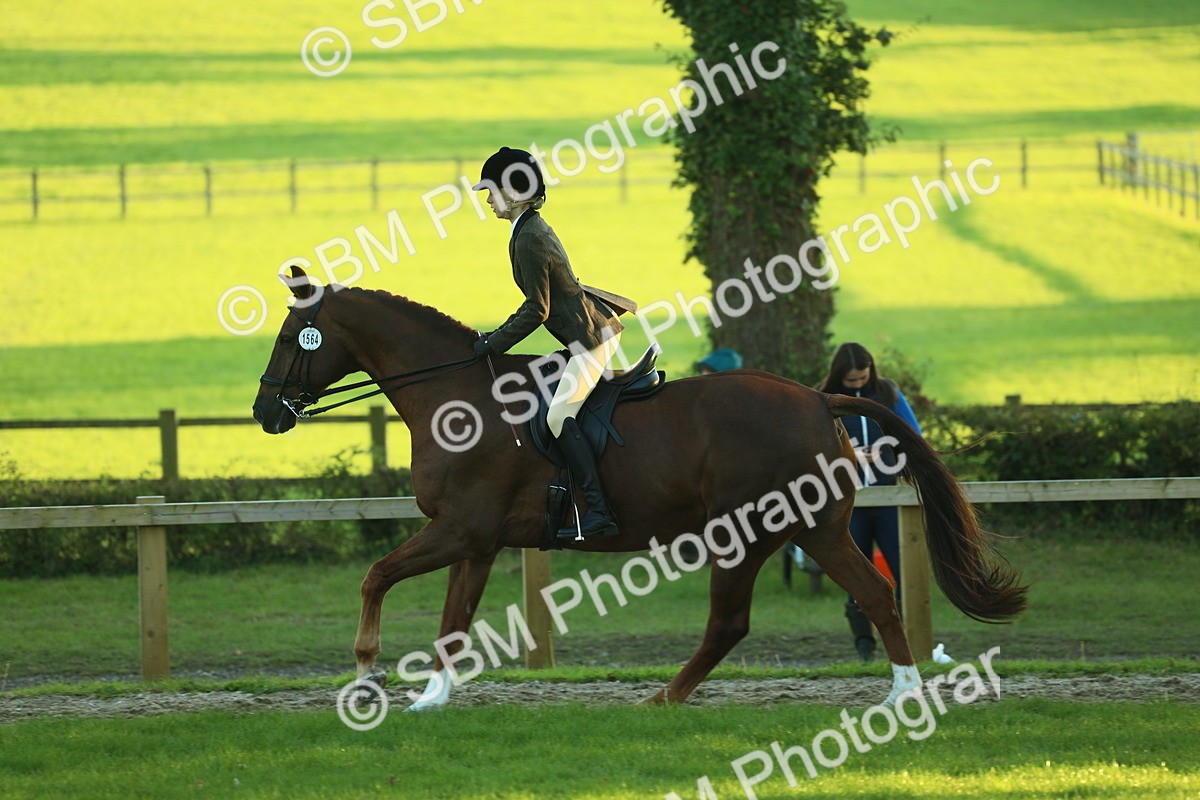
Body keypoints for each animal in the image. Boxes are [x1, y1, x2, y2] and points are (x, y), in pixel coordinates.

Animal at [252, 266, 1027, 708]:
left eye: (292, 336)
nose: (265, 412)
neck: (456, 395)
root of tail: (818, 398)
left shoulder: (457, 530)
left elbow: (375, 578)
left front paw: (367, 674)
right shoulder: (475, 541)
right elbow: (452, 623)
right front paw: (429, 700)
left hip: (750, 532)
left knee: (736, 621)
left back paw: (667, 698)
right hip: (814, 530)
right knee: (869, 595)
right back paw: (896, 696)